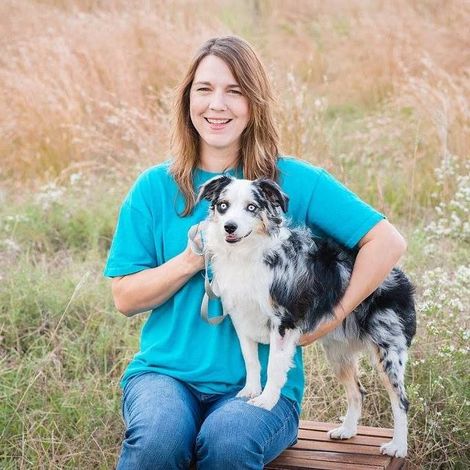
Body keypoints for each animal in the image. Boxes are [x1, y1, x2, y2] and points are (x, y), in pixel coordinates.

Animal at [196, 174, 416, 458]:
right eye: (223, 206)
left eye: (252, 207)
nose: (229, 227)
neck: (249, 253)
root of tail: (401, 276)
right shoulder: (241, 319)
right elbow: (252, 362)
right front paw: (250, 391)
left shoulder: (283, 323)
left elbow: (274, 366)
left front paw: (266, 401)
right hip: (338, 353)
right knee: (357, 392)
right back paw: (347, 430)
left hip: (388, 351)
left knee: (401, 400)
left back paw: (398, 446)